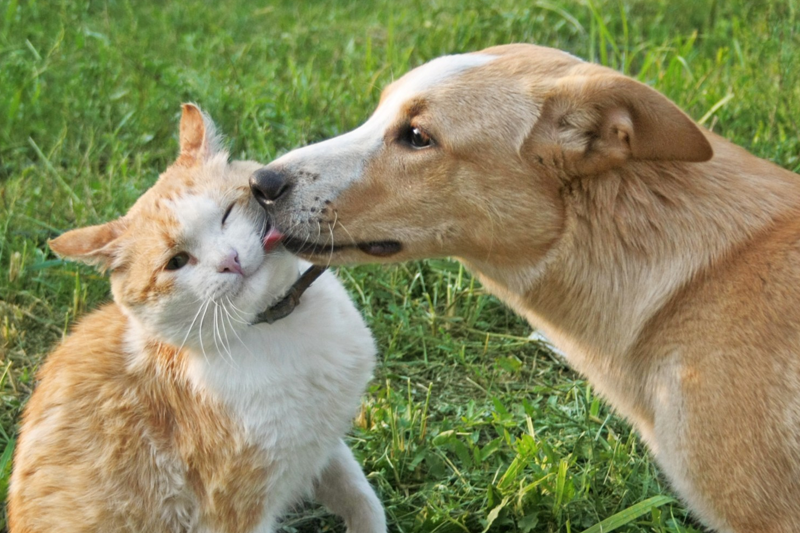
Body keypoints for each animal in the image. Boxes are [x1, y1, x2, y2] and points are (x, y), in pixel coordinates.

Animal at [7, 104, 388, 532]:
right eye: (176, 262)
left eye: (226, 214)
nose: (229, 260)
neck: (278, 325)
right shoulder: (236, 512)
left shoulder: (323, 445)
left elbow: (362, 499)